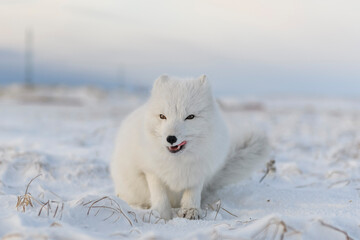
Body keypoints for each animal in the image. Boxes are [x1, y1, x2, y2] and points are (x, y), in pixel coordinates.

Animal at [111, 75, 268, 219]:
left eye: (190, 117)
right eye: (162, 116)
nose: (171, 138)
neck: (177, 161)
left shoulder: (198, 171)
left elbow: (192, 192)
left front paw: (191, 211)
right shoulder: (151, 171)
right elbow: (159, 194)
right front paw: (161, 215)